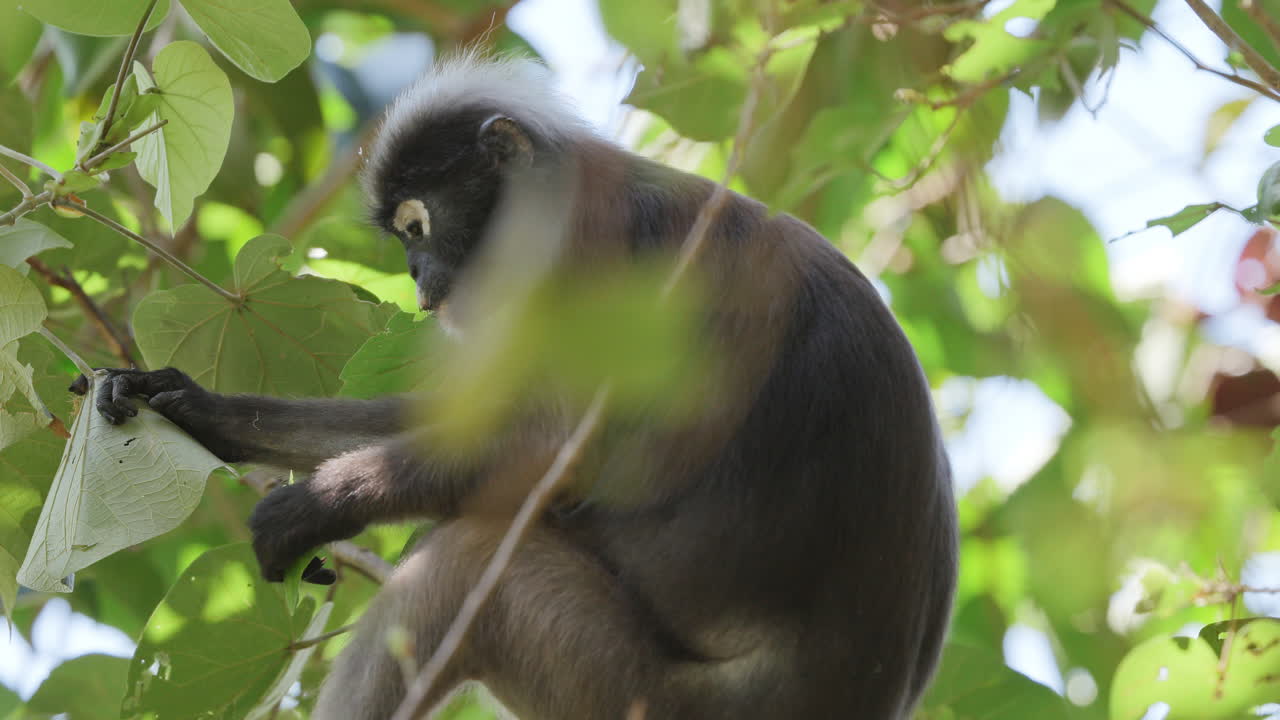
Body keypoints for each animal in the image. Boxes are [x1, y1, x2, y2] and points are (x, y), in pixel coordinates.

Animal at [85, 53, 957, 719]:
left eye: (417, 227)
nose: (420, 286)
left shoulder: (594, 252)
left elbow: (555, 451)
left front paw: (315, 506)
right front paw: (198, 408)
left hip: (639, 693)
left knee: (467, 567)